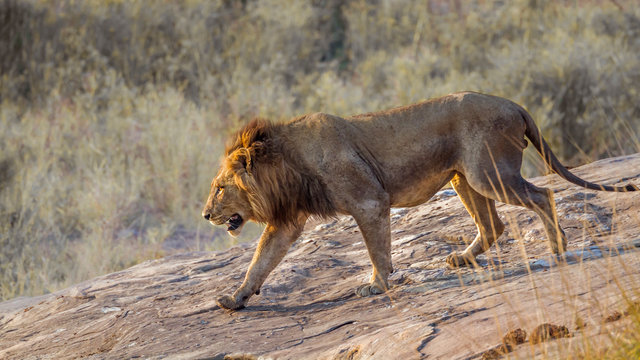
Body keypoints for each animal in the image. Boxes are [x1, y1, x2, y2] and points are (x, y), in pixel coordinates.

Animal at [202, 92, 636, 310]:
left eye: (220, 187)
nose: (205, 215)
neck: (288, 161)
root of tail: (514, 104)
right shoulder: (288, 221)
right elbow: (261, 262)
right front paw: (235, 299)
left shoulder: (370, 201)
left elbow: (377, 251)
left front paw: (376, 286)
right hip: (465, 178)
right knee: (493, 224)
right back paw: (462, 259)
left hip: (488, 174)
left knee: (542, 195)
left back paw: (557, 248)